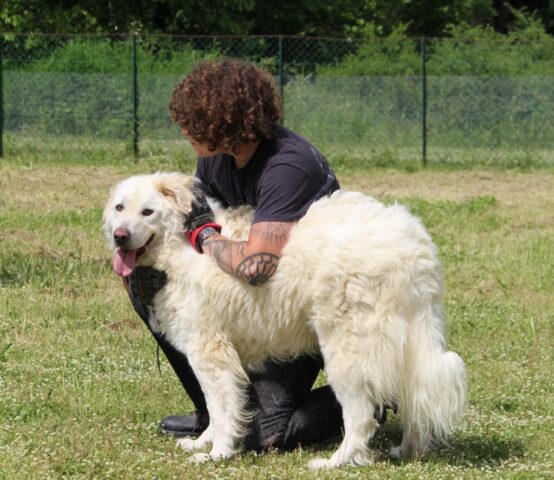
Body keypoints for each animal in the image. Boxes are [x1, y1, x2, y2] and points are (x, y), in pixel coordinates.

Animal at [103, 172, 466, 468]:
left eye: (147, 212)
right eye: (120, 208)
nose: (120, 235)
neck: (180, 245)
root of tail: (410, 245)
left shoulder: (210, 353)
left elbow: (221, 409)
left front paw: (217, 453)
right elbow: (214, 410)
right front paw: (202, 443)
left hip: (346, 350)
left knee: (363, 416)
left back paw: (337, 462)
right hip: (410, 339)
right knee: (413, 397)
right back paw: (408, 451)